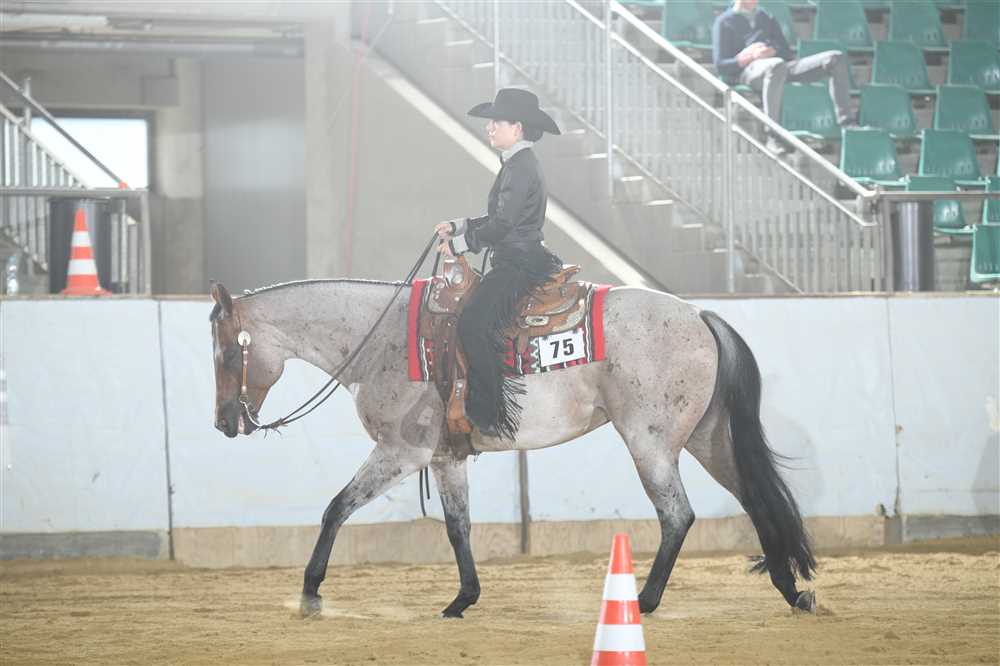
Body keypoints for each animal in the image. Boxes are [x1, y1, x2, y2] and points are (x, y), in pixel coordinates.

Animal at [208, 277, 816, 619]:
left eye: (226, 354)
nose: (223, 424)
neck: (384, 341)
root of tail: (699, 315)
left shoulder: (400, 453)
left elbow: (335, 508)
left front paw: (311, 594)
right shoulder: (445, 458)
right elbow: (458, 528)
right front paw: (463, 599)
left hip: (651, 442)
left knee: (677, 515)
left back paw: (643, 603)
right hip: (707, 438)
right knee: (756, 499)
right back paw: (792, 591)